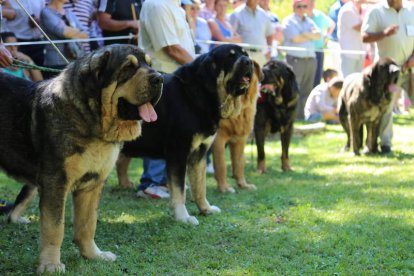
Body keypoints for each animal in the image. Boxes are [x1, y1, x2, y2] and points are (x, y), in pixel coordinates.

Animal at [0, 44, 163, 272]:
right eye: (128, 68)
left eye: (149, 64)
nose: (160, 78)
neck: (91, 120)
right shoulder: (55, 182)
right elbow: (54, 227)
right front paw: (51, 265)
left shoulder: (92, 183)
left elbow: (88, 223)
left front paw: (94, 255)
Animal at [115, 43, 254, 224]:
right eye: (230, 56)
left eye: (245, 54)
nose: (249, 62)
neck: (201, 94)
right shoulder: (178, 153)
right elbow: (179, 190)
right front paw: (183, 217)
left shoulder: (199, 153)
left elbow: (199, 185)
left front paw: (205, 208)